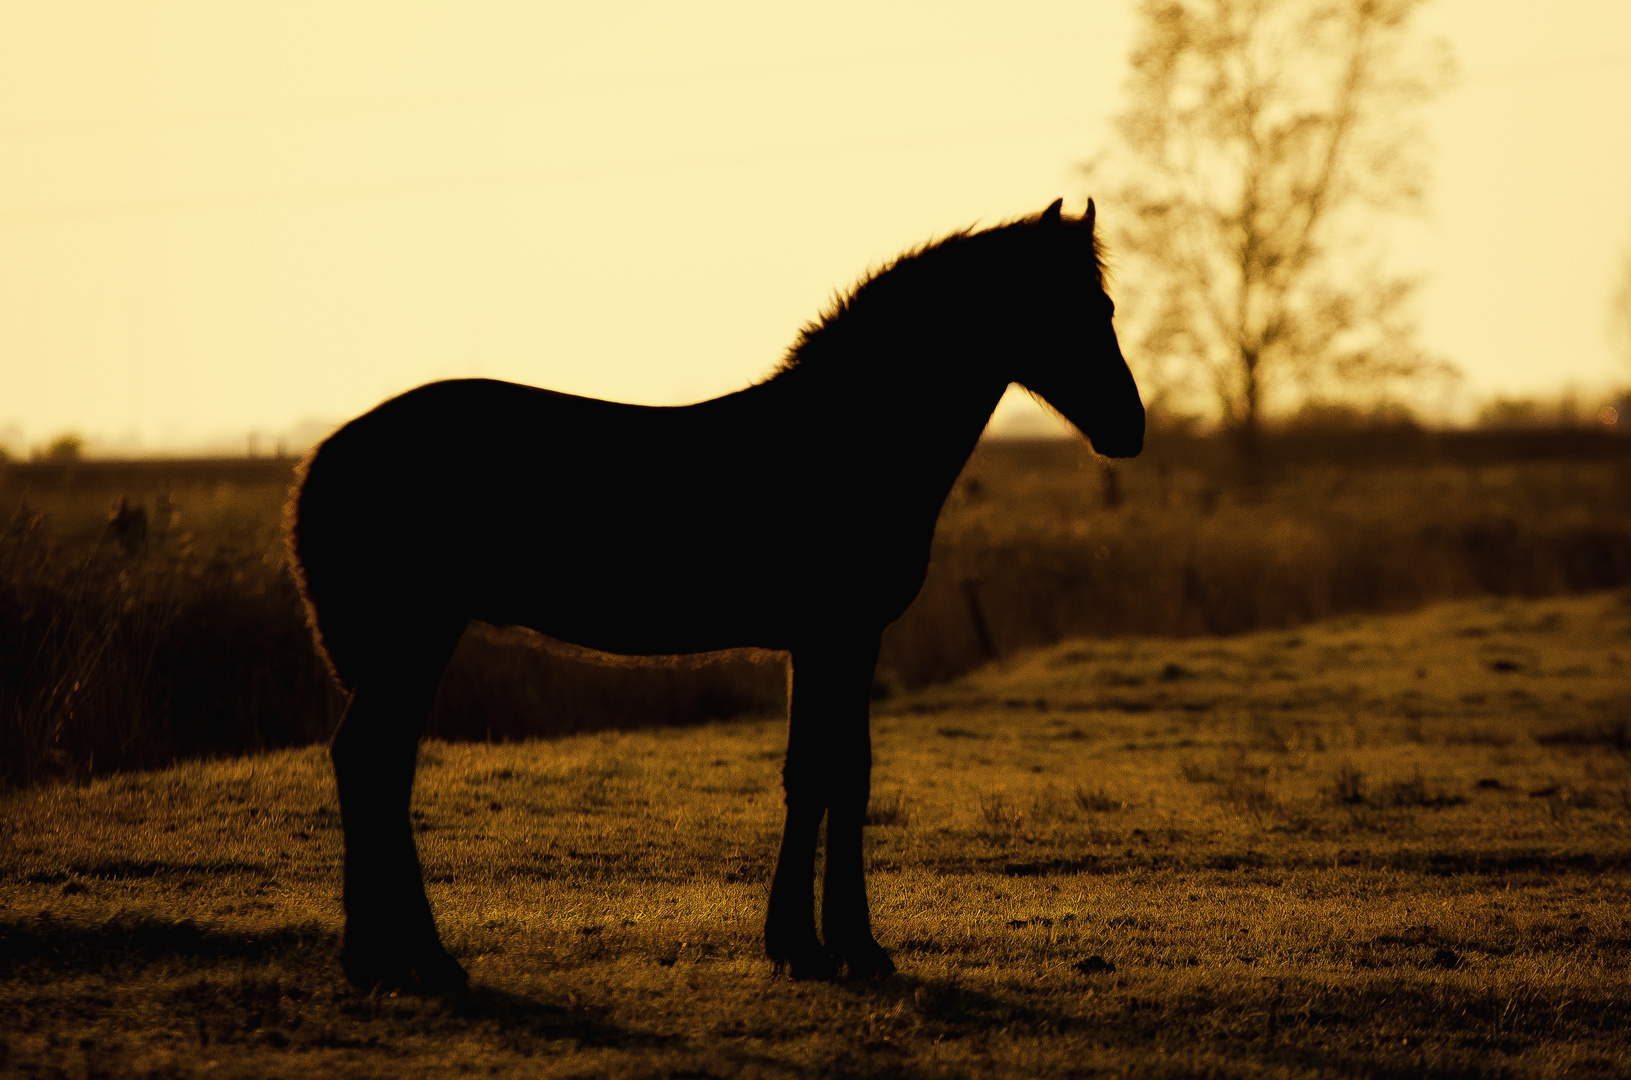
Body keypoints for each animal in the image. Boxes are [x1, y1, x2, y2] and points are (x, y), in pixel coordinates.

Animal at [283, 194, 1148, 991]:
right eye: (1075, 308)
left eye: (1103, 306)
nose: (1130, 427)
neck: (847, 437)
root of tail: (329, 454)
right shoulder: (840, 637)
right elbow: (832, 773)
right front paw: (838, 948)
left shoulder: (826, 644)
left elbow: (824, 773)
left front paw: (808, 943)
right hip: (416, 636)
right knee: (372, 760)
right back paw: (409, 958)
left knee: (377, 765)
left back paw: (388, 958)